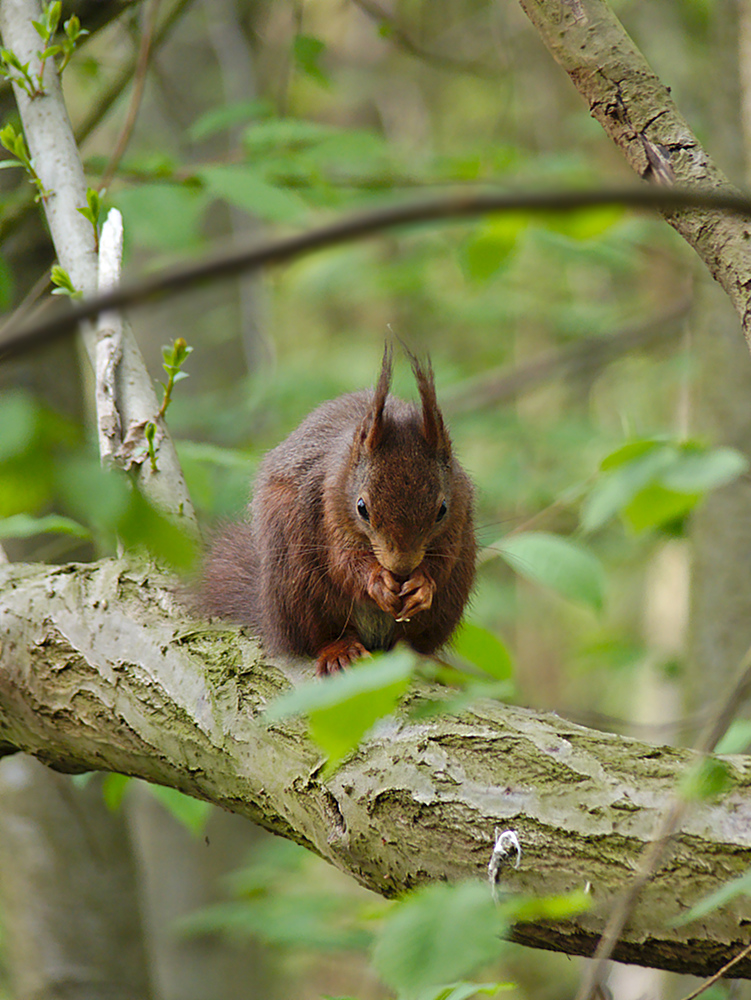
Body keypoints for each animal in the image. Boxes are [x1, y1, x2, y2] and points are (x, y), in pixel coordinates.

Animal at [199, 345, 476, 676]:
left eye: (441, 510)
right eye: (361, 508)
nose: (400, 568)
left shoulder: (459, 513)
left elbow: (443, 560)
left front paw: (422, 585)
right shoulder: (327, 503)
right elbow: (343, 561)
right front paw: (376, 581)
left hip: (450, 598)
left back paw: (420, 659)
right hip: (297, 581)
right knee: (319, 635)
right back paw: (340, 651)